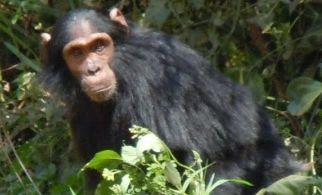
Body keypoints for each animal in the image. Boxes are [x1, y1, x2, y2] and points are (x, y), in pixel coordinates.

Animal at [41, 7, 302, 195]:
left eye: (99, 46)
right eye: (77, 53)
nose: (93, 69)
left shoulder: (145, 75)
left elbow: (173, 156)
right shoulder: (79, 113)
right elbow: (98, 173)